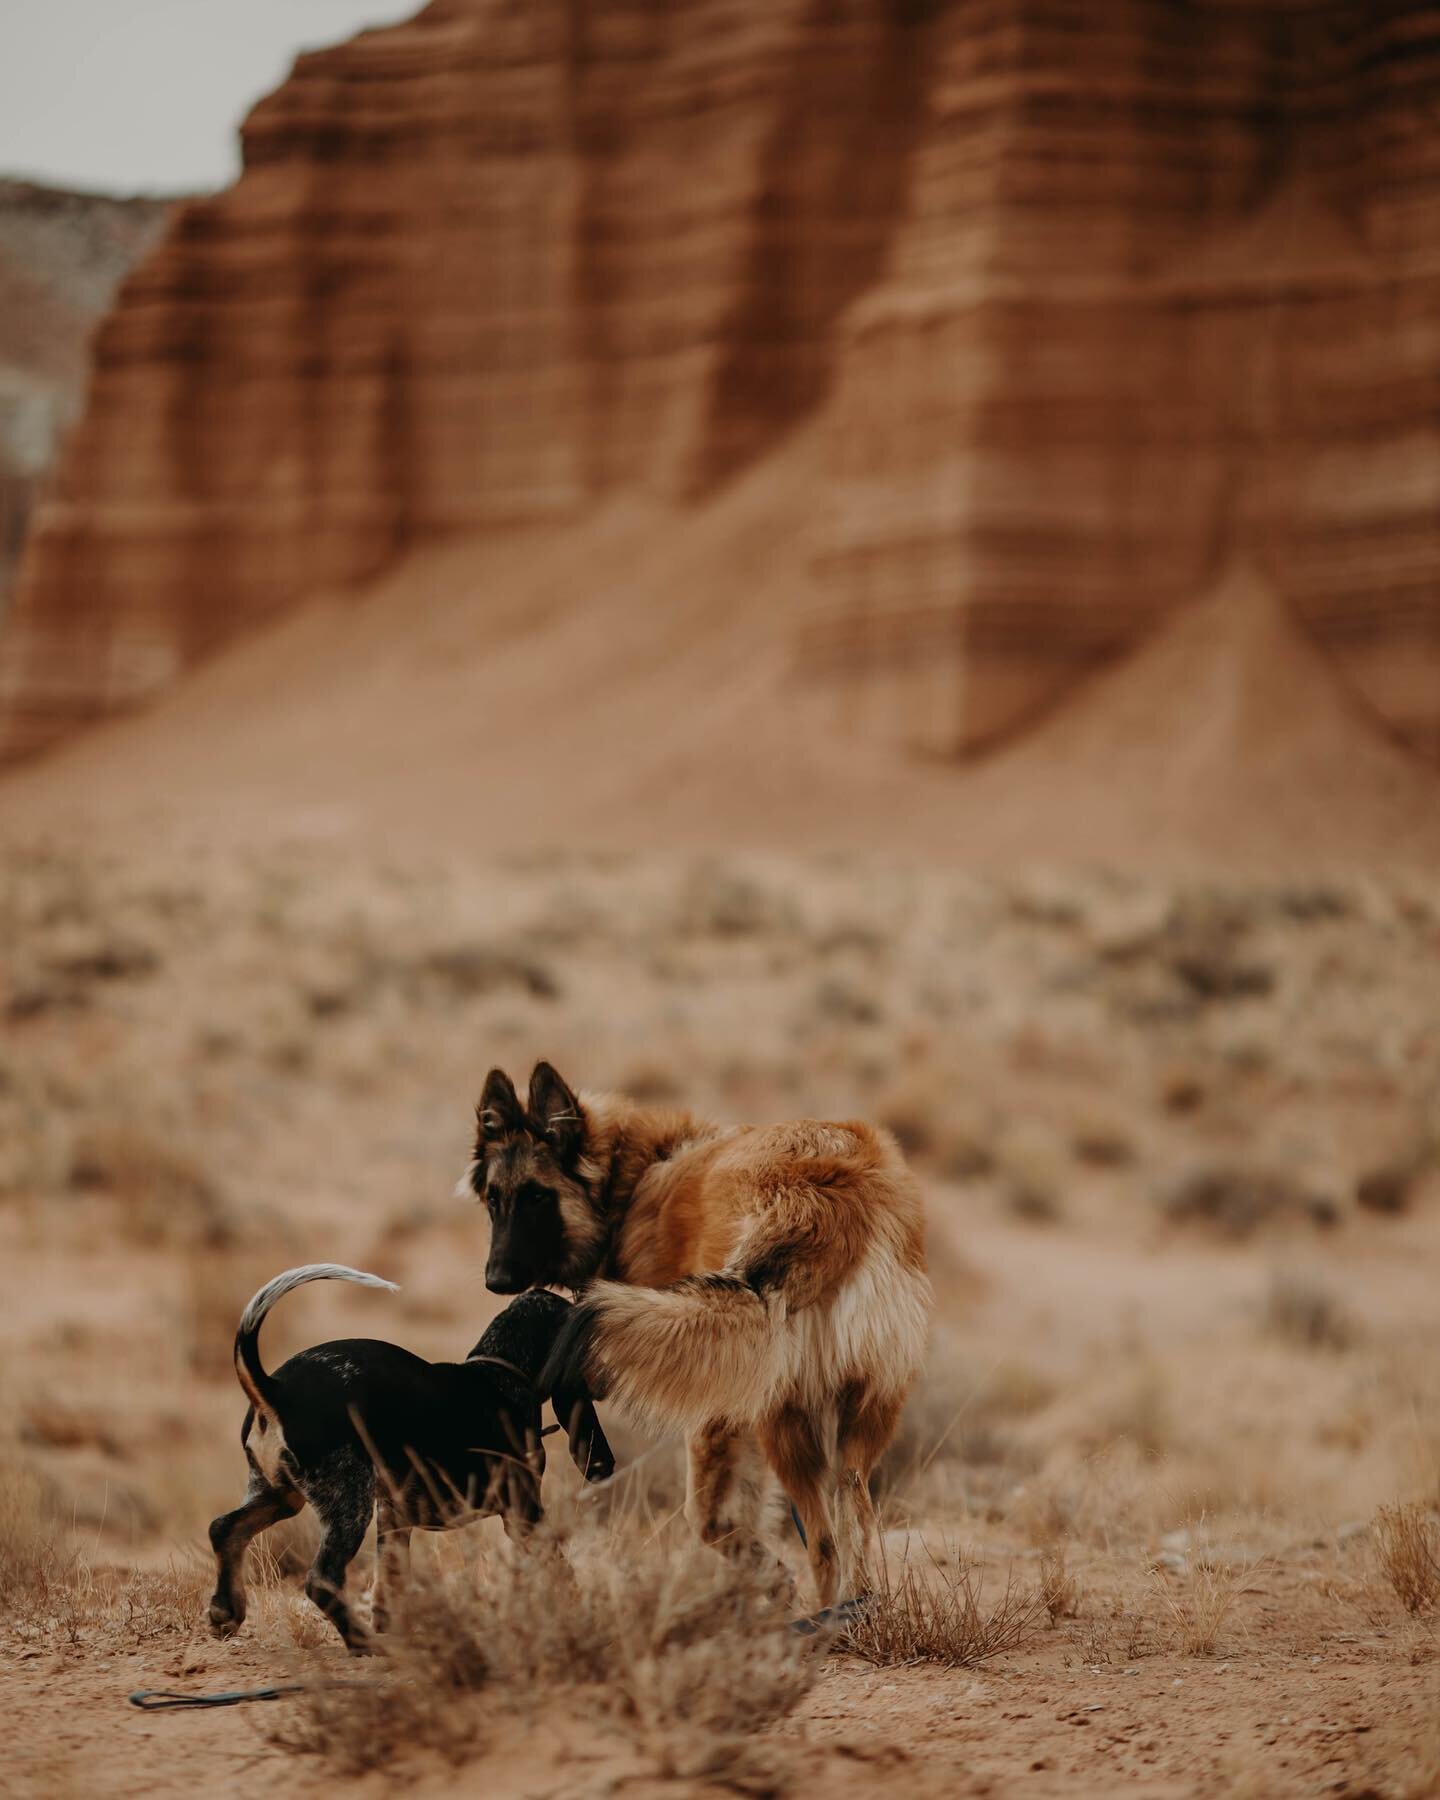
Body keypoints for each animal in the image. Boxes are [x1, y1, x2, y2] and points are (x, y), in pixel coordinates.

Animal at [205, 1260, 612, 1648]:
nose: (606, 1382)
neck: (499, 1371)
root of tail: (276, 1388)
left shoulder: (394, 1517)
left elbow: (389, 1582)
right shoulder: (522, 1512)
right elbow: (559, 1566)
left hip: (279, 1495)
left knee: (226, 1528)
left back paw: (226, 1611)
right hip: (347, 1503)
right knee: (322, 1579)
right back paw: (362, 1643)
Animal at [460, 1051, 936, 1605]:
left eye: (538, 1197)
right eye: (494, 1199)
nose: (495, 1280)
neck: (630, 1179)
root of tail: (829, 1192)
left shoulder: (718, 1413)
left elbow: (712, 1521)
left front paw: (769, 1578)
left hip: (780, 1414)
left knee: (820, 1543)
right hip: (864, 1410)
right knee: (850, 1514)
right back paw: (852, 1607)